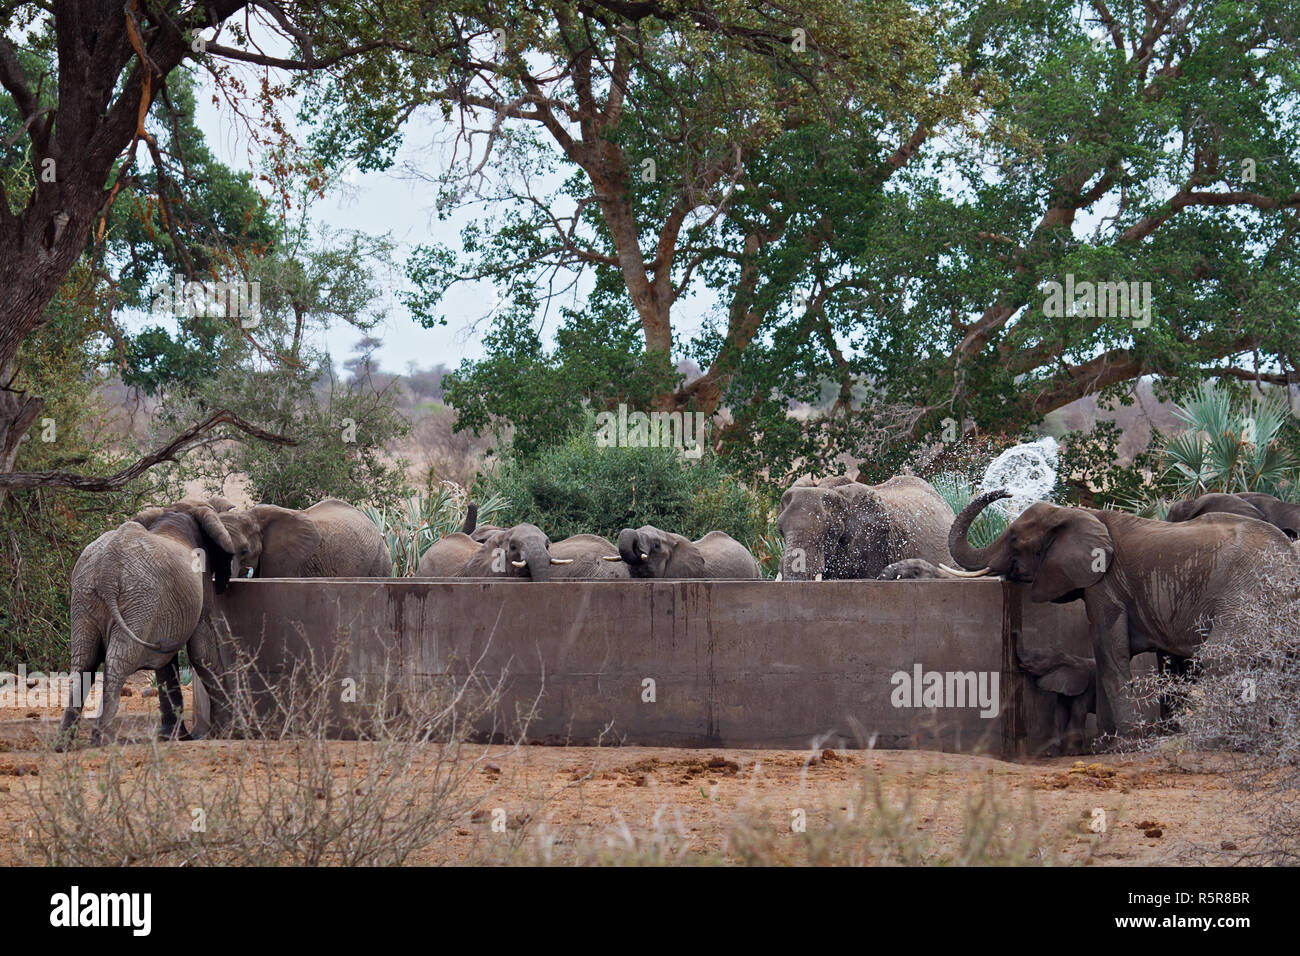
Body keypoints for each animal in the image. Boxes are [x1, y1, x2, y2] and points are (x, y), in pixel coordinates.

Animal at [59, 502, 237, 749]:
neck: (177, 512)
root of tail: (107, 570)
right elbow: (202, 650)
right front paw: (225, 731)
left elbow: (167, 665)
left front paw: (176, 738)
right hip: (140, 601)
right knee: (118, 660)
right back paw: (102, 740)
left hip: (84, 599)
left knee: (83, 661)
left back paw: (63, 744)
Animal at [951, 489, 1294, 738]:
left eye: (1013, 539)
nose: (1006, 491)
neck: (1080, 513)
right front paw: (1120, 736)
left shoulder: (1105, 583)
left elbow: (1109, 652)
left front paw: (1123, 738)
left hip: (1246, 592)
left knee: (1222, 656)